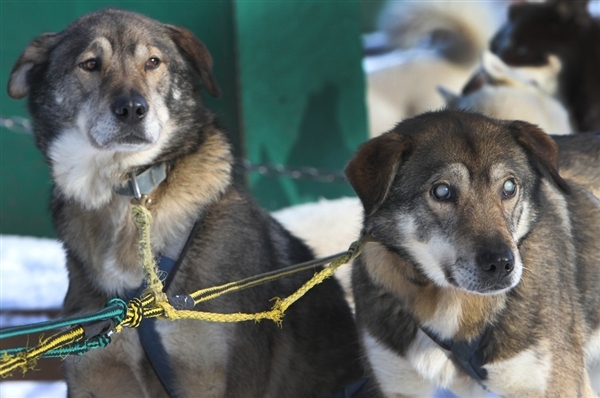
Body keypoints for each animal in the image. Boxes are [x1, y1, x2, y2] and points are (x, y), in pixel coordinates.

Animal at [8, 9, 366, 398]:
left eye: (153, 62)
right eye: (90, 64)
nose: (132, 108)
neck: (128, 191)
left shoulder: (217, 374)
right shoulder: (98, 377)